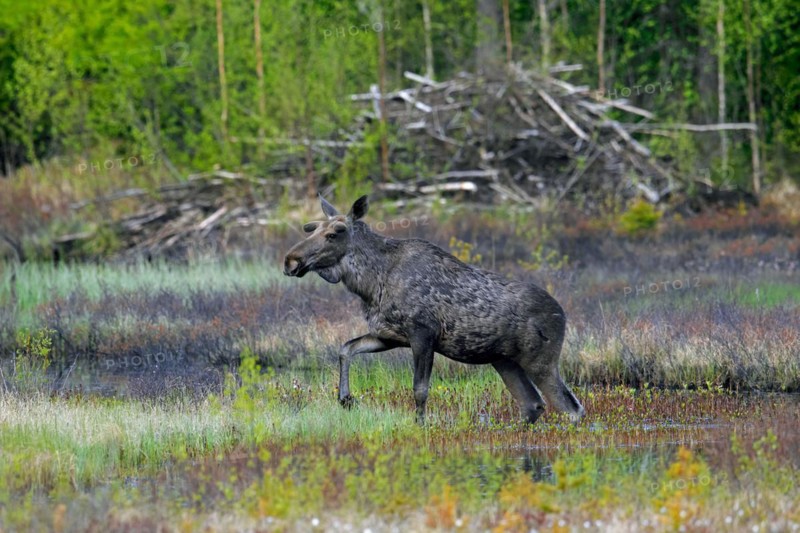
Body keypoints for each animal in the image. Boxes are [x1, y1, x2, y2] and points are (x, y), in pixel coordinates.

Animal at [283, 195, 584, 425]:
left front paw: (420, 426)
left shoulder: (423, 334)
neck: (369, 284)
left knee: (571, 408)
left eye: (334, 233)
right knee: (533, 404)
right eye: (311, 228)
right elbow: (346, 348)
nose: (290, 260)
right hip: (504, 361)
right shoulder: (388, 335)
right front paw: (345, 398)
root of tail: (563, 315)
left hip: (541, 361)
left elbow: (420, 389)